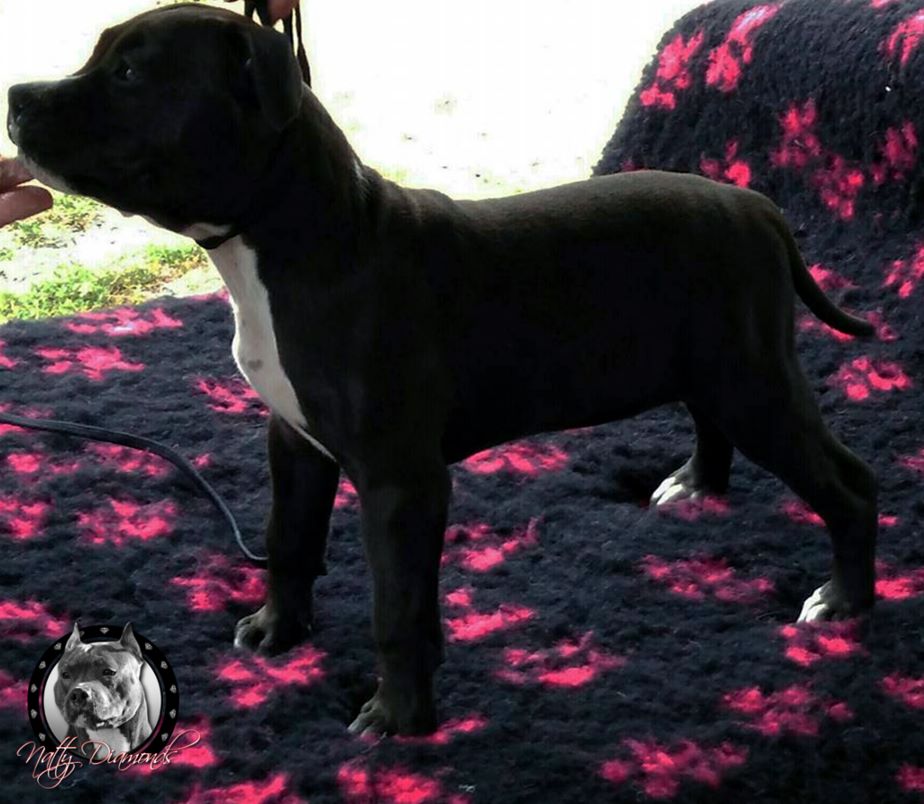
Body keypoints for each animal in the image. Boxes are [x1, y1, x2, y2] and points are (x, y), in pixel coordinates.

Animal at [8, 5, 878, 736]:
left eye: (129, 73)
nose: (15, 94)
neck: (301, 241)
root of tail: (758, 207)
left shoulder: (401, 483)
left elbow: (398, 609)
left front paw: (398, 719)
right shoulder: (293, 441)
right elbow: (289, 540)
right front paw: (279, 629)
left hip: (751, 379)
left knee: (849, 483)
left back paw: (846, 601)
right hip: (712, 364)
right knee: (712, 421)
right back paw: (698, 485)